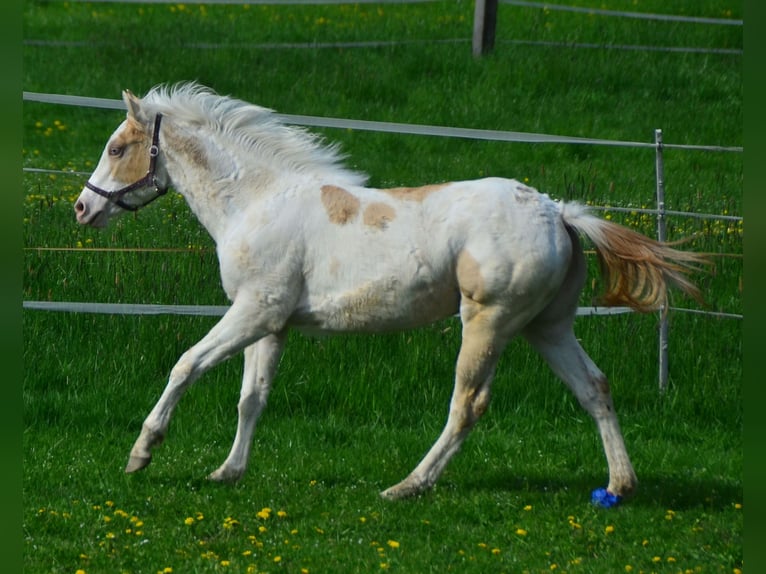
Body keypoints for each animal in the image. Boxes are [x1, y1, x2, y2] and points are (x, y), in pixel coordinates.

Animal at [74, 82, 706, 502]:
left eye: (116, 147)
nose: (82, 208)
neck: (256, 201)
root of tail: (559, 213)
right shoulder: (271, 323)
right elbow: (252, 397)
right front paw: (227, 473)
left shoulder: (253, 312)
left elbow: (186, 365)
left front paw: (141, 454)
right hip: (546, 327)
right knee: (594, 388)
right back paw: (619, 486)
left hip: (489, 322)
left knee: (468, 404)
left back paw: (406, 486)